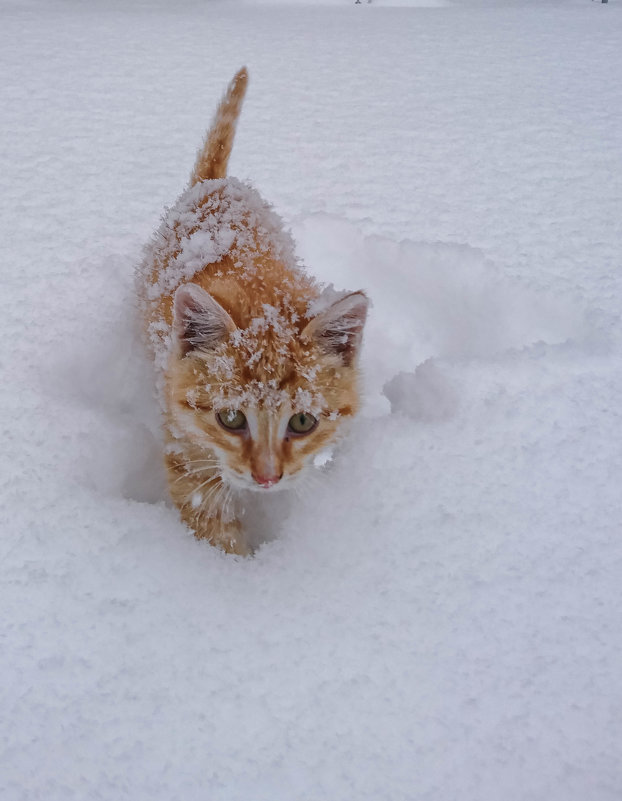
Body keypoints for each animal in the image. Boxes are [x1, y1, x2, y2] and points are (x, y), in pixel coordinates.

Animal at [139, 69, 368, 552]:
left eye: (302, 421)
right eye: (230, 419)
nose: (267, 478)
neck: (261, 299)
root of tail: (214, 182)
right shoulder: (183, 443)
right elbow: (208, 519)